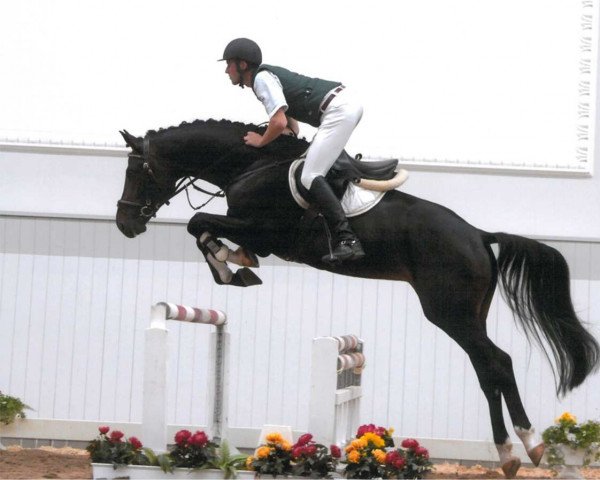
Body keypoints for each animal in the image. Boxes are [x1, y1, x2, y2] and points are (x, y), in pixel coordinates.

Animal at [115, 118, 596, 478]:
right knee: (488, 369)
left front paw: (228, 267)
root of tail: (479, 235)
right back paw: (512, 452)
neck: (251, 164)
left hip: (449, 312)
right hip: (468, 314)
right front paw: (236, 264)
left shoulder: (265, 232)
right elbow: (206, 230)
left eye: (137, 171)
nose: (125, 225)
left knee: (496, 362)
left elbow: (199, 224)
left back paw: (526, 446)